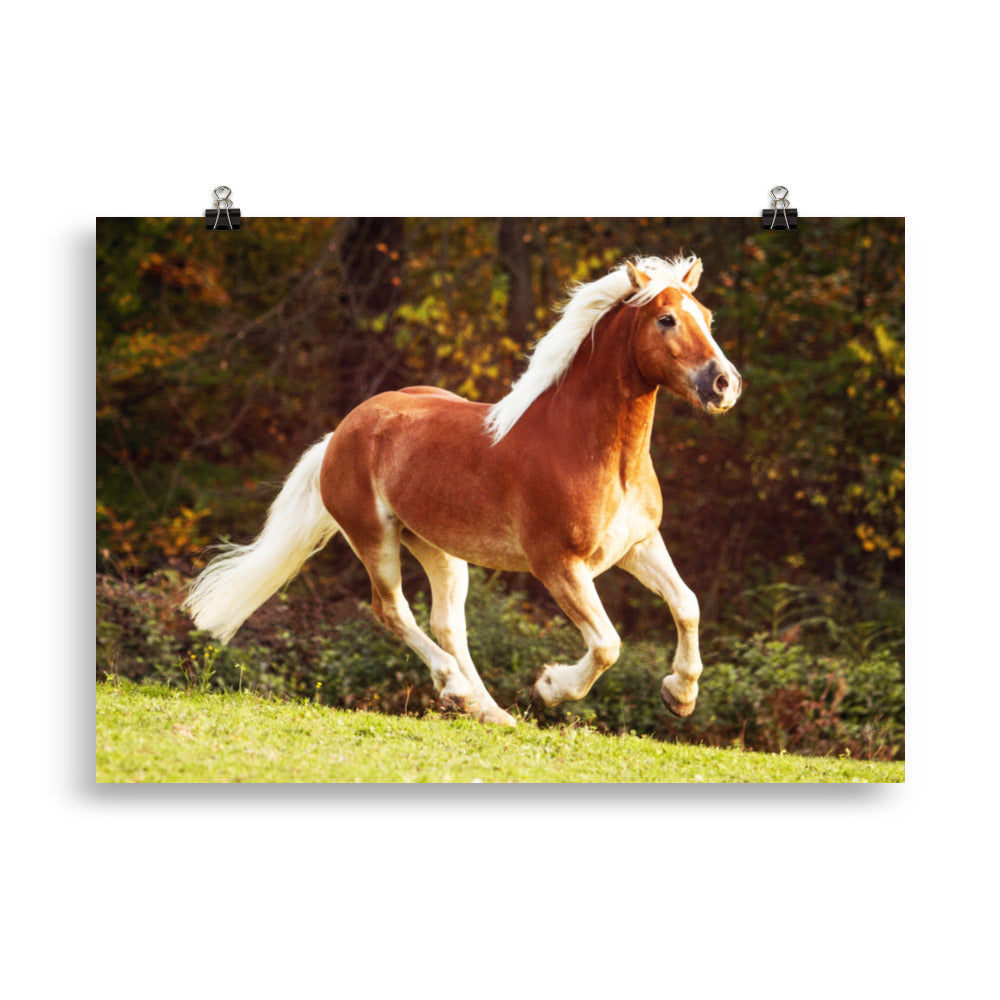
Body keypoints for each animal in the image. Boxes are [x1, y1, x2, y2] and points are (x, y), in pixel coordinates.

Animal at [184, 254, 742, 726]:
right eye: (666, 320)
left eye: (707, 316)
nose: (725, 384)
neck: (590, 449)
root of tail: (343, 430)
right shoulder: (558, 565)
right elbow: (607, 643)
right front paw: (548, 687)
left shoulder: (638, 545)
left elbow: (687, 604)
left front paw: (680, 695)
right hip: (374, 537)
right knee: (393, 610)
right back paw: (458, 689)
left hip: (439, 548)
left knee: (448, 623)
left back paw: (486, 709)